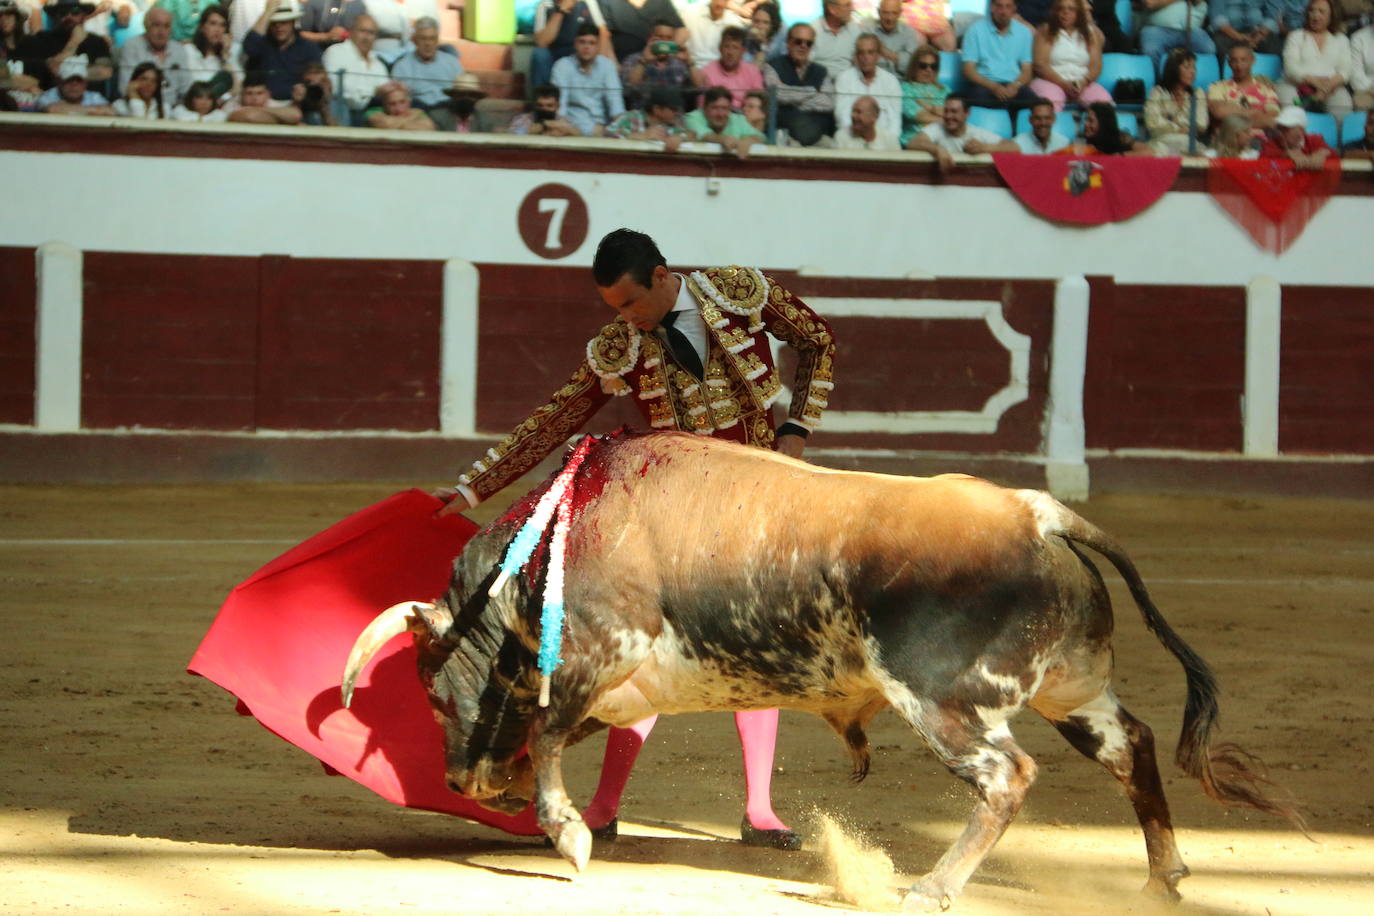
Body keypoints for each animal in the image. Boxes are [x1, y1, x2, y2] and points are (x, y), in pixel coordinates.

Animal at [340, 431, 1297, 911]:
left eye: (434, 693)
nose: (463, 781)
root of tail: (1039, 514)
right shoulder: (620, 681)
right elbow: (562, 736)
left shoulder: (595, 651)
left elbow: (543, 734)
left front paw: (570, 839)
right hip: (1072, 686)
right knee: (1131, 744)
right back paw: (1162, 877)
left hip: (944, 699)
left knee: (1008, 776)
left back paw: (930, 887)